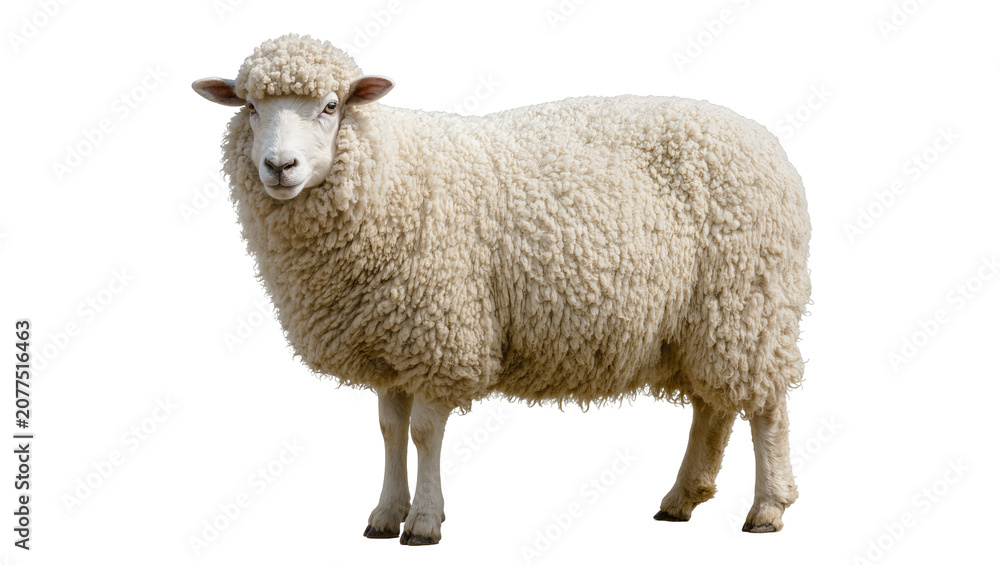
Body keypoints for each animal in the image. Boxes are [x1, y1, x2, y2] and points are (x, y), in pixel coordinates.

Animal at [193, 33, 811, 545]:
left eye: (330, 106)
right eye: (251, 107)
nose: (280, 166)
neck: (391, 176)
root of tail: (765, 140)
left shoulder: (440, 333)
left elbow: (423, 432)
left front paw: (424, 522)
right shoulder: (389, 338)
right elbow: (390, 431)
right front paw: (385, 515)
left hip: (751, 299)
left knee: (767, 408)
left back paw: (767, 508)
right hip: (707, 318)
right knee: (715, 403)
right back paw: (682, 498)